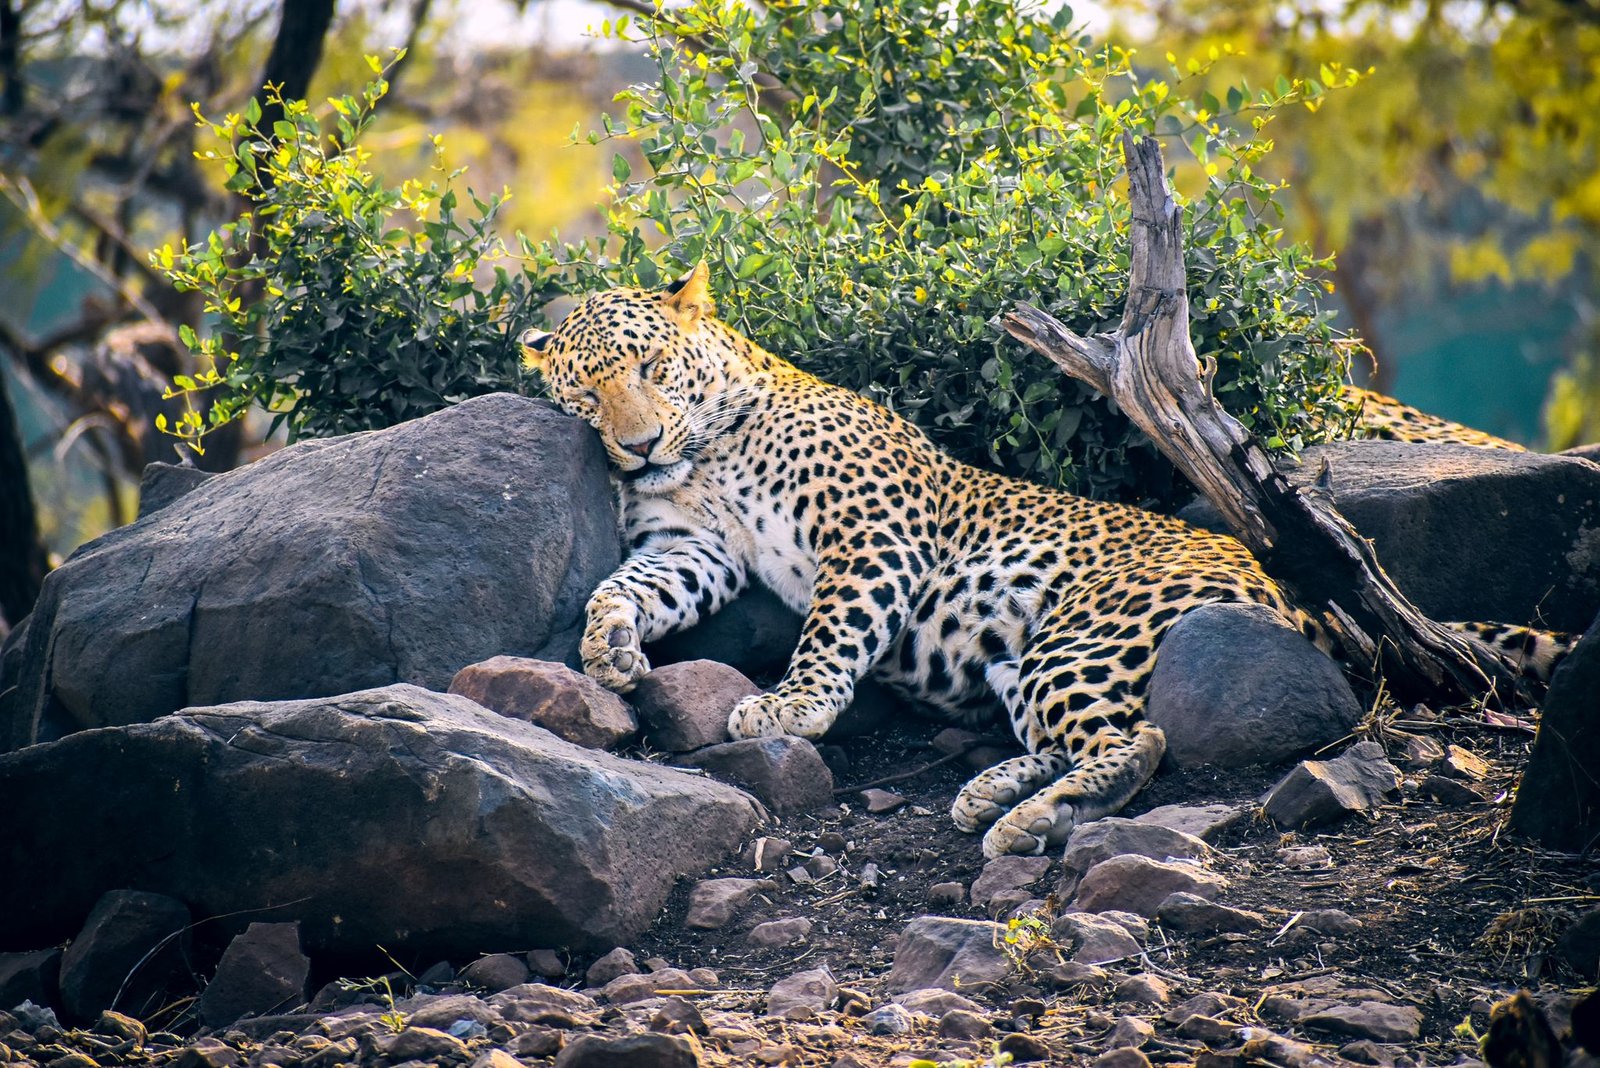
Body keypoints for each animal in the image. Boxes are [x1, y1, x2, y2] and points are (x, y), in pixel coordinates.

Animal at [520, 263, 1570, 857]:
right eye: (585, 394)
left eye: (652, 369)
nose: (638, 447)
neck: (710, 447)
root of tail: (1284, 581)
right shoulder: (694, 547)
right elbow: (628, 584)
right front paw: (610, 647)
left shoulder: (874, 533)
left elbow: (833, 632)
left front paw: (790, 706)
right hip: (1023, 661)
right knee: (1088, 738)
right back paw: (994, 793)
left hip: (1087, 635)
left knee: (1138, 743)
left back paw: (1023, 822)